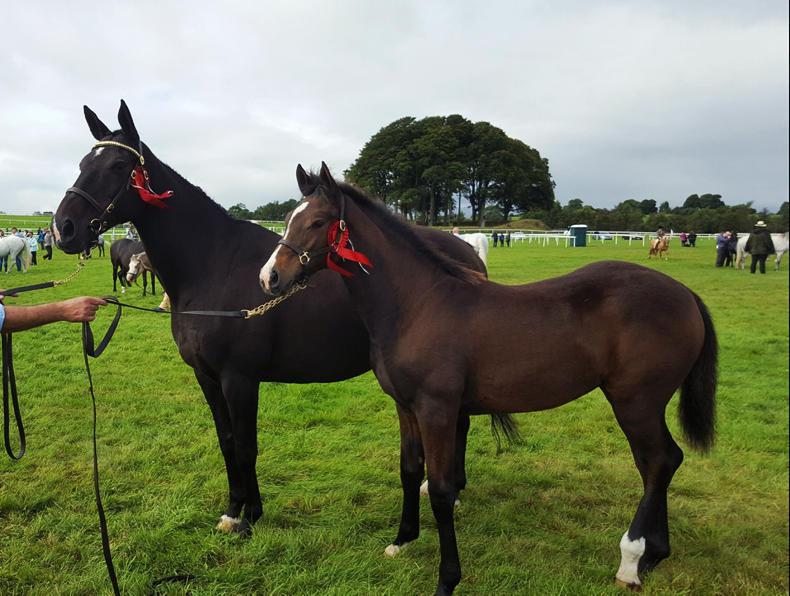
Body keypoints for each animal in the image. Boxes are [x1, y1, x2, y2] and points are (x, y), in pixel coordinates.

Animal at [52, 101, 488, 537]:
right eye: (82, 163)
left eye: (118, 165)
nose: (64, 229)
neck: (214, 264)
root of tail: (468, 253)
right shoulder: (207, 376)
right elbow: (227, 440)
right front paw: (232, 510)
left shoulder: (239, 377)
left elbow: (247, 445)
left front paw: (250, 516)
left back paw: (454, 491)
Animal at [258, 163, 718, 595]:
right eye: (288, 218)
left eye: (317, 221)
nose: (269, 278)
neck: (418, 305)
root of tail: (686, 294)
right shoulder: (405, 407)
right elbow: (409, 470)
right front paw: (402, 540)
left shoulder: (438, 410)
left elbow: (441, 490)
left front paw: (447, 579)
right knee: (660, 463)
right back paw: (654, 555)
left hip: (636, 403)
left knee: (659, 461)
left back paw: (632, 560)